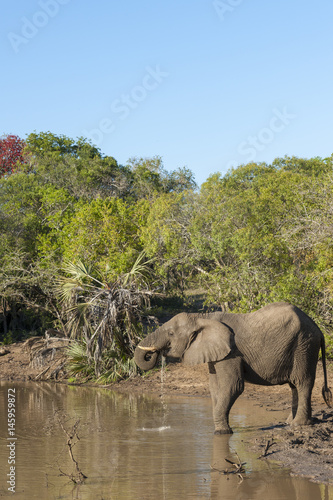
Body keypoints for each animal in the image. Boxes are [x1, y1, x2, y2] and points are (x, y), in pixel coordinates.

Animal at [134, 300, 330, 434]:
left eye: (171, 333)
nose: (153, 353)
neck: (202, 317)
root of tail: (318, 328)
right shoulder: (217, 353)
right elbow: (215, 387)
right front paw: (221, 429)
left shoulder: (232, 352)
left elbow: (233, 386)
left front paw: (221, 432)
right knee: (294, 385)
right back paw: (289, 422)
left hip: (304, 346)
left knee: (302, 382)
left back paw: (298, 425)